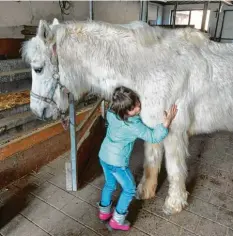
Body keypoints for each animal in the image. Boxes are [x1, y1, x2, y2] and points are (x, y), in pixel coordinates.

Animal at [21, 18, 233, 214]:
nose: (38, 111)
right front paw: (145, 190)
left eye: (38, 69)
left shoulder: (175, 133)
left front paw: (174, 203)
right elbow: (151, 160)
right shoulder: (153, 126)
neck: (153, 69)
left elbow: (175, 169)